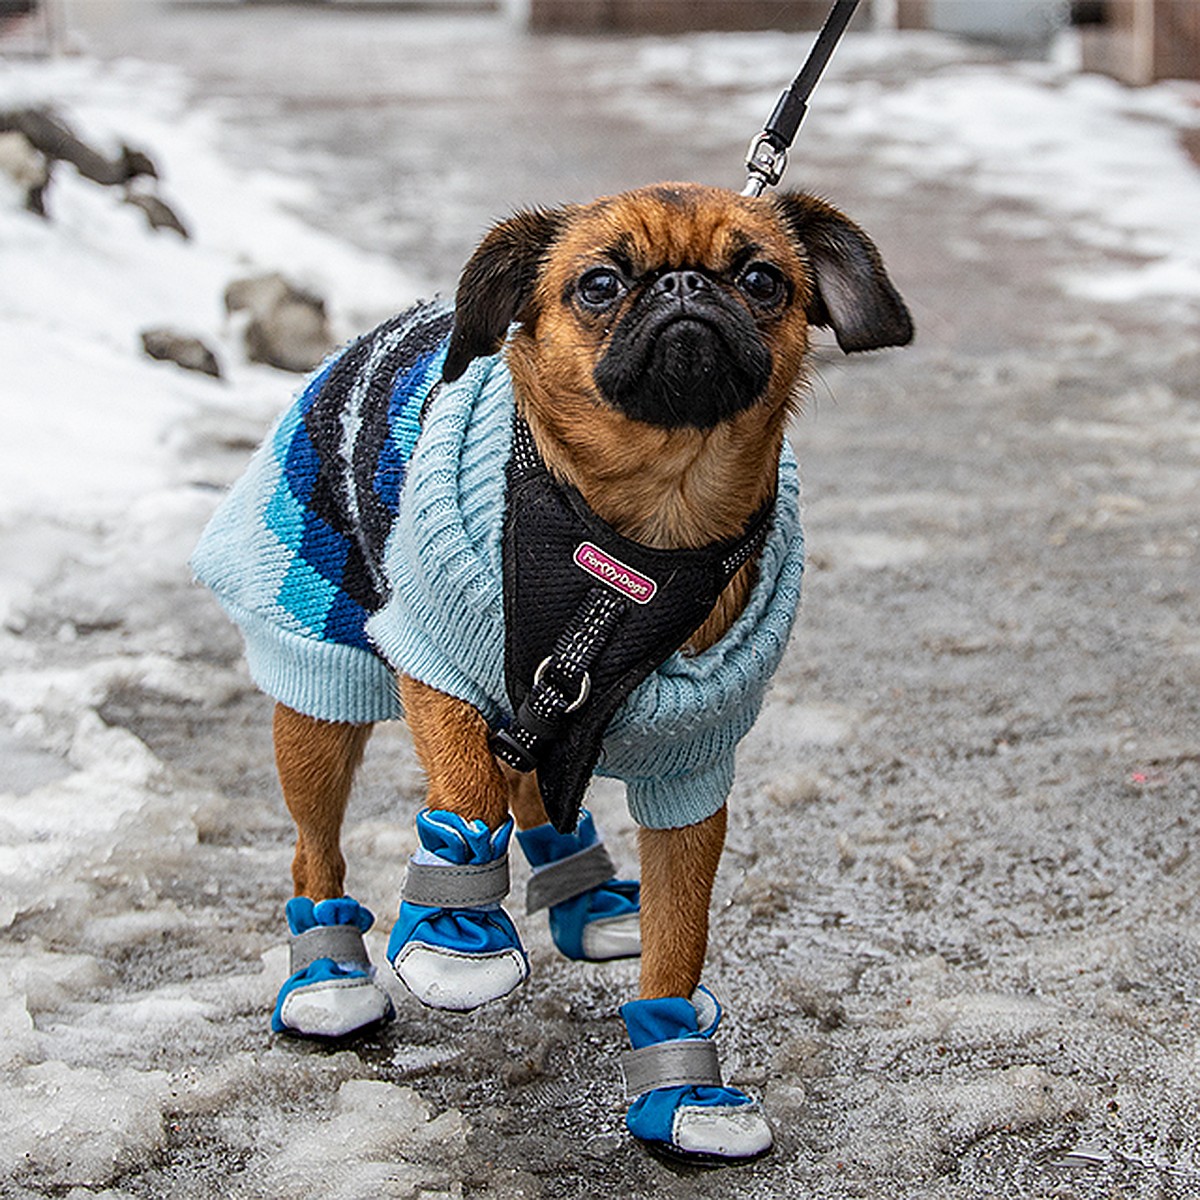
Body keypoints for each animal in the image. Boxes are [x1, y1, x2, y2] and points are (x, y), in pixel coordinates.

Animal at [194, 180, 907, 1161]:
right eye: (600, 283)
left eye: (763, 279)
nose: (684, 285)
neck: (648, 529)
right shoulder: (436, 660)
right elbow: (467, 792)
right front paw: (457, 936)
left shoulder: (692, 772)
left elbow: (680, 935)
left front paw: (679, 1085)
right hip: (318, 703)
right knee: (317, 850)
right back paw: (328, 981)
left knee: (536, 783)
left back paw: (585, 893)